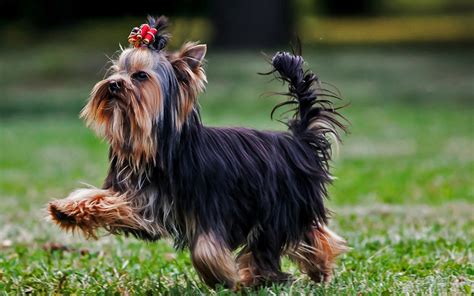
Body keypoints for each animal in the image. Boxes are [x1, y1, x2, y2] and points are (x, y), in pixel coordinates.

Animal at [49, 15, 348, 290]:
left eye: (140, 76)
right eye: (115, 71)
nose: (112, 84)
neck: (158, 147)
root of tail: (298, 141)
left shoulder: (212, 205)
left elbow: (206, 248)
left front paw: (221, 277)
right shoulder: (142, 200)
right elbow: (105, 199)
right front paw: (66, 209)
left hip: (279, 207)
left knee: (280, 241)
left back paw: (274, 275)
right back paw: (309, 270)